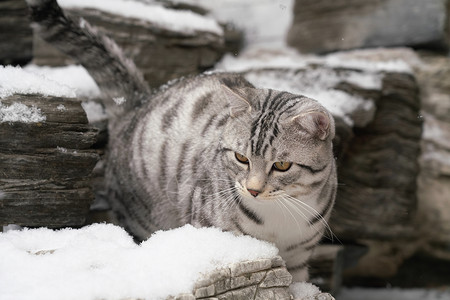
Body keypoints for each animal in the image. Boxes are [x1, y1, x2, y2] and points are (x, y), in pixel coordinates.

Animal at [27, 0, 338, 282]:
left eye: (282, 165)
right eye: (241, 158)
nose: (253, 190)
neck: (280, 219)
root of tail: (136, 105)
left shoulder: (299, 257)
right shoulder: (214, 227)